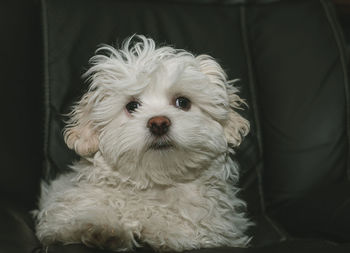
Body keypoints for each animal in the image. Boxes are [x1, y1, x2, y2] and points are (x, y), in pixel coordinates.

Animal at [33, 35, 252, 251]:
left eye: (183, 102)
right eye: (132, 106)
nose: (159, 123)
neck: (157, 179)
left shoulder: (213, 226)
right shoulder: (61, 213)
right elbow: (83, 214)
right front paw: (103, 227)